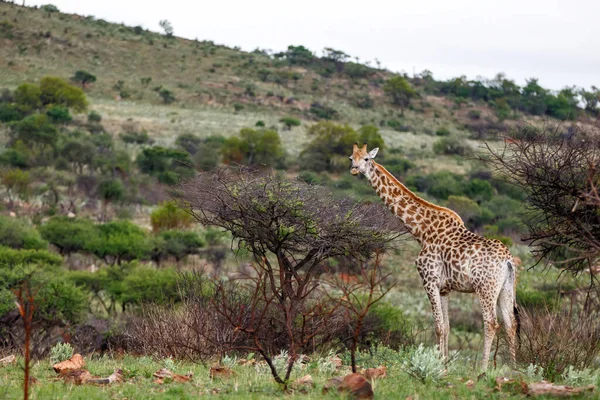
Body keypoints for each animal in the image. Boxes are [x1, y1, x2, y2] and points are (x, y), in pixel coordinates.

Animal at [350, 142, 516, 370]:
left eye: (366, 158)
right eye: (351, 158)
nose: (355, 169)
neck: (421, 231)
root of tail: (507, 260)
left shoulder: (429, 281)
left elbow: (437, 326)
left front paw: (437, 367)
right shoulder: (445, 288)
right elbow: (446, 327)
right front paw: (444, 366)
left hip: (485, 288)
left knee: (491, 323)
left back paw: (482, 370)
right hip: (506, 288)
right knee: (511, 325)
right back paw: (517, 369)